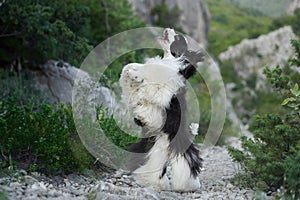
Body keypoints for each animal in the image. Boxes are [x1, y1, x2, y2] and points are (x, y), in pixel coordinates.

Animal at [119, 28, 204, 192]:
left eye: (178, 38)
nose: (168, 29)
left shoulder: (165, 88)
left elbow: (153, 86)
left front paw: (135, 74)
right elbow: (131, 71)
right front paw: (131, 72)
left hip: (170, 144)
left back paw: (183, 186)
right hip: (152, 145)